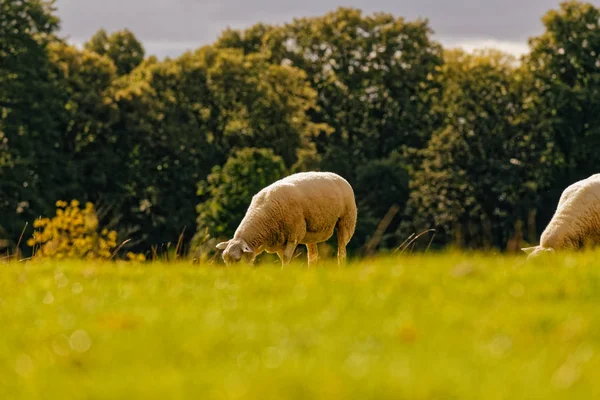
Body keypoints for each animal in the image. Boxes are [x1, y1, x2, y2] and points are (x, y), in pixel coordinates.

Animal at [216, 170, 356, 268]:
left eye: (238, 260)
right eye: (225, 260)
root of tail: (338, 176)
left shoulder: (294, 235)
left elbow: (287, 257)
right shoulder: (278, 241)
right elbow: (284, 258)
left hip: (346, 222)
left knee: (342, 252)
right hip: (311, 233)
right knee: (313, 256)